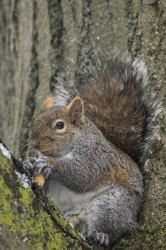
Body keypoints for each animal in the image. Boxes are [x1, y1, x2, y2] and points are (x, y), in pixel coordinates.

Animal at [23, 56, 156, 246]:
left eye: (60, 125)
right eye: (35, 120)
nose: (34, 144)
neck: (63, 151)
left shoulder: (97, 158)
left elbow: (84, 175)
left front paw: (50, 164)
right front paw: (29, 163)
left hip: (112, 204)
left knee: (112, 227)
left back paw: (101, 235)